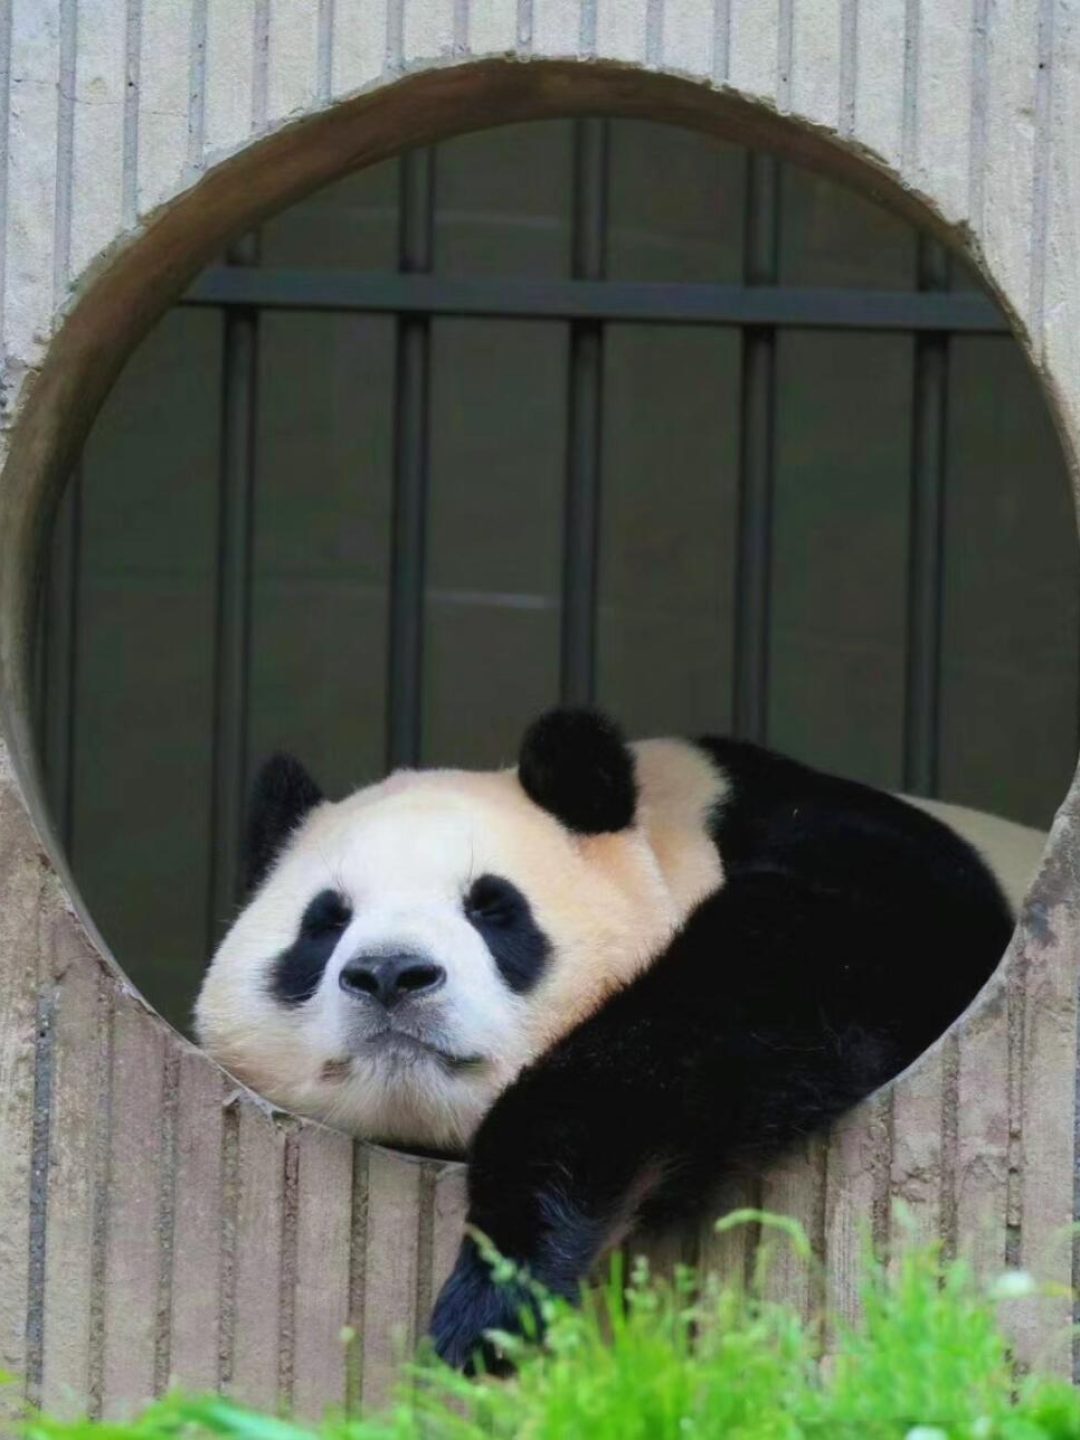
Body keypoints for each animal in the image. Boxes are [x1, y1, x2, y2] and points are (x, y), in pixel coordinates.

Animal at [195, 707, 1044, 1370]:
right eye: (325, 921)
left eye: (493, 908)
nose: (391, 973)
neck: (674, 830)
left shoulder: (863, 872)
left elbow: (764, 984)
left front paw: (499, 1288)